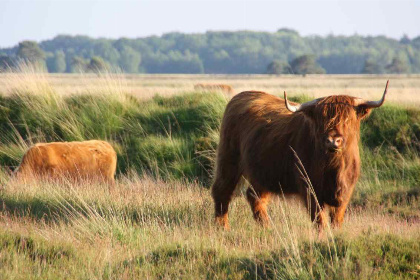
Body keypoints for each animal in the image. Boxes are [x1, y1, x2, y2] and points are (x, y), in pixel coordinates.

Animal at [212, 80, 388, 229]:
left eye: (348, 120)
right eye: (321, 121)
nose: (333, 141)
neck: (334, 167)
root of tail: (240, 96)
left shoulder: (345, 192)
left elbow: (337, 219)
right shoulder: (309, 188)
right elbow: (319, 220)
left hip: (262, 172)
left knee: (254, 196)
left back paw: (267, 227)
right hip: (229, 161)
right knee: (222, 191)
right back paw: (223, 227)